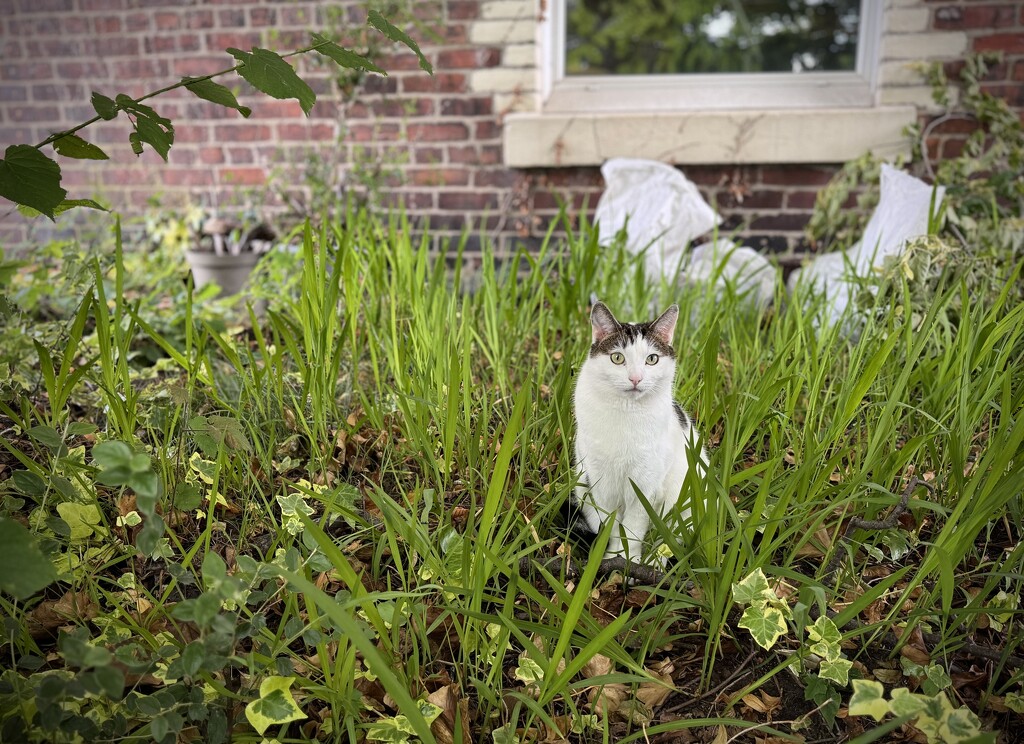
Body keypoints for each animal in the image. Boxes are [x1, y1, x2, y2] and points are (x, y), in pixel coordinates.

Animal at [573, 298, 708, 560]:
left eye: (652, 359)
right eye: (617, 358)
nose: (635, 379)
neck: (626, 412)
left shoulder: (645, 485)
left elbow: (633, 529)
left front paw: (629, 560)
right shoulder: (601, 484)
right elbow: (612, 526)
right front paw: (610, 558)